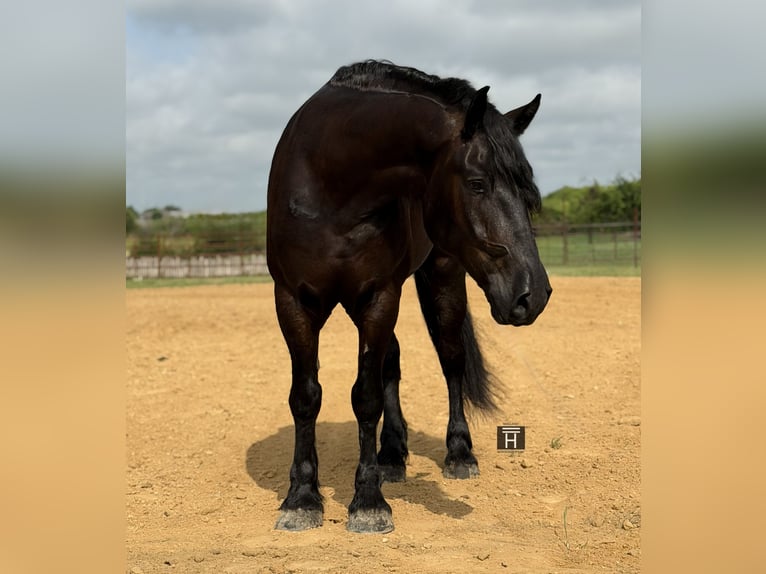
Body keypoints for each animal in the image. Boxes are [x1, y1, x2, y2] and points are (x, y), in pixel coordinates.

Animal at [266, 60, 551, 534]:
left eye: (528, 191)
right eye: (477, 183)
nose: (534, 295)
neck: (331, 185)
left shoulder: (379, 296)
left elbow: (366, 397)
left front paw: (367, 502)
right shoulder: (293, 301)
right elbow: (306, 396)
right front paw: (302, 498)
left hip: (442, 275)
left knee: (451, 360)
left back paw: (458, 453)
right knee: (393, 362)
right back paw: (392, 454)